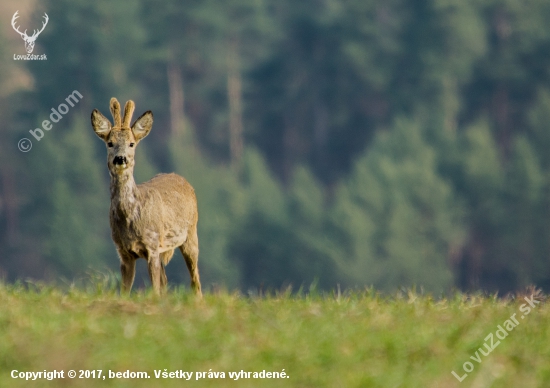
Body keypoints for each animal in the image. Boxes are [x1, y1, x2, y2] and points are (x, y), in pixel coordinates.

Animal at [90, 98, 203, 296]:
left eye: (131, 143)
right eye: (110, 143)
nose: (120, 158)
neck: (131, 217)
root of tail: (183, 180)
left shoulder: (152, 245)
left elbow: (155, 289)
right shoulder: (124, 252)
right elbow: (125, 290)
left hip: (191, 233)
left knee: (195, 279)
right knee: (166, 280)